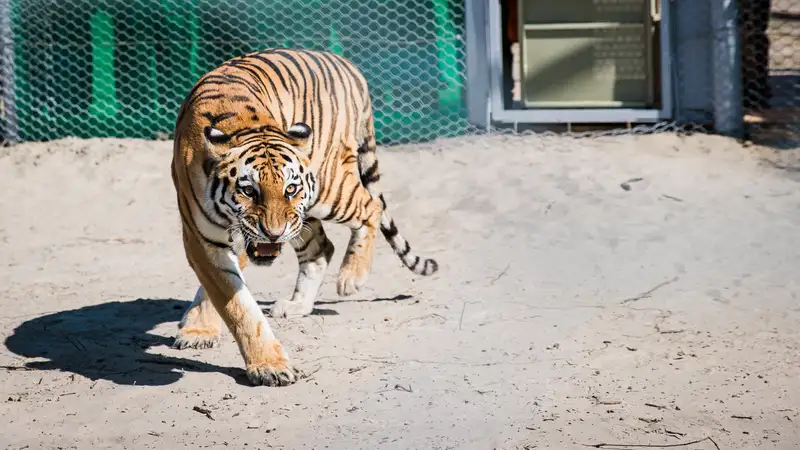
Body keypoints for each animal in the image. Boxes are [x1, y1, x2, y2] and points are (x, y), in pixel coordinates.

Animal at [170, 48, 440, 386]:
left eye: (290, 188)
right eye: (249, 191)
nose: (273, 233)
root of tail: (348, 65)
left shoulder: (237, 237)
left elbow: (234, 303)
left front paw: (268, 366)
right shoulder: (202, 238)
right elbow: (232, 300)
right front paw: (202, 331)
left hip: (327, 189)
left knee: (370, 206)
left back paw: (352, 277)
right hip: (303, 215)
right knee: (321, 247)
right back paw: (298, 304)